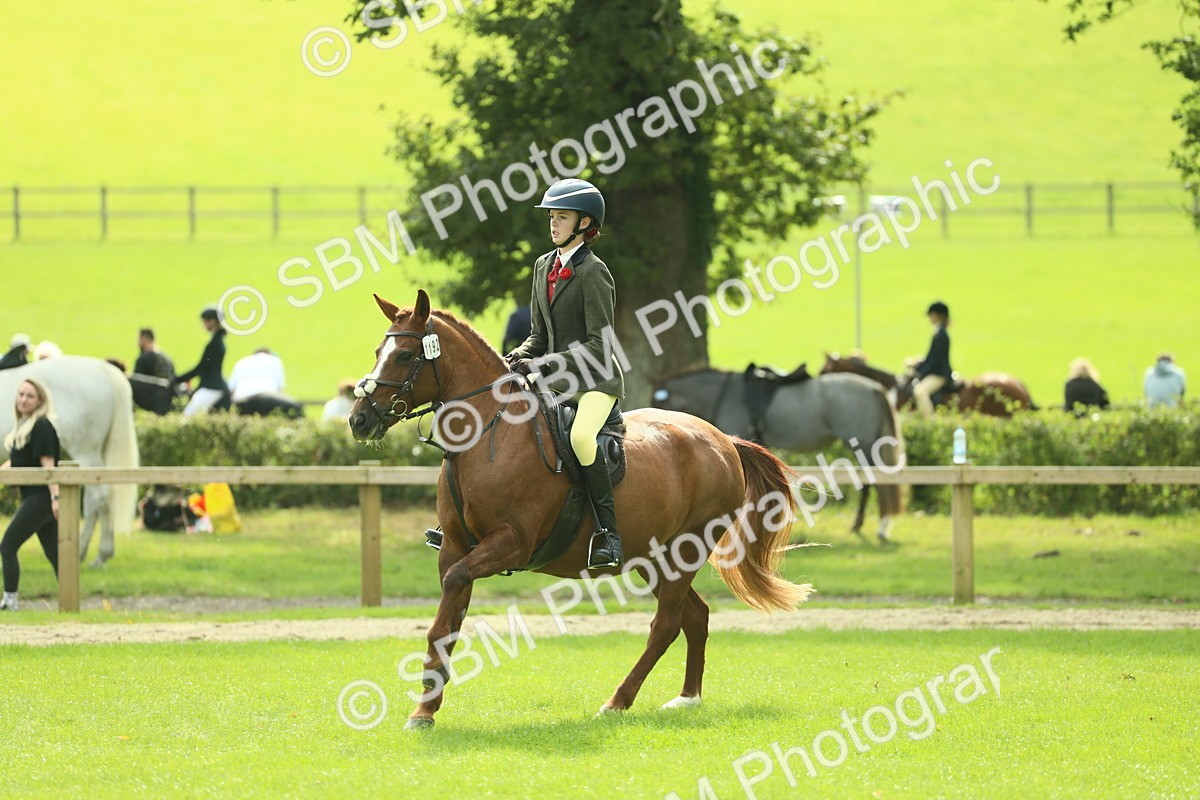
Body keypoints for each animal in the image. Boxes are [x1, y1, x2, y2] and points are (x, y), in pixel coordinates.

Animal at [349, 290, 813, 729]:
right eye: (378, 351)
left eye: (404, 356)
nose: (358, 420)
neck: (488, 433)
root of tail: (723, 440)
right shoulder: (456, 548)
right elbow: (445, 623)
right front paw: (424, 710)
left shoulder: (510, 543)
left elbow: (451, 599)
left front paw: (424, 708)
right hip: (654, 557)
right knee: (694, 616)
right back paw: (687, 698)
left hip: (686, 548)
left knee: (665, 625)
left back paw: (617, 702)